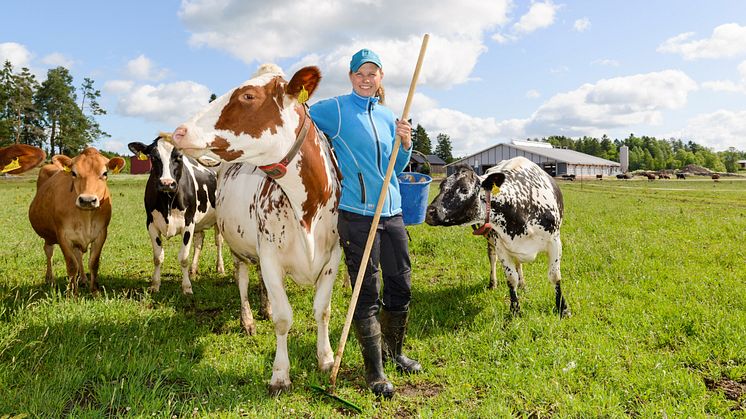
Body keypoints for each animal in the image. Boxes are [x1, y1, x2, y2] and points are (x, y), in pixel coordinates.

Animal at [28, 148, 125, 296]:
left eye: (105, 173)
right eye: (73, 173)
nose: (87, 200)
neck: (85, 217)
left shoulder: (101, 234)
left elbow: (93, 263)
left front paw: (94, 291)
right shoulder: (63, 235)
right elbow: (71, 265)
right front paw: (72, 293)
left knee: (78, 255)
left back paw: (83, 279)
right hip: (49, 236)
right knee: (49, 252)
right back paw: (49, 278)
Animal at [126, 136, 224, 294]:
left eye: (179, 156)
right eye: (154, 157)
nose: (167, 183)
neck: (168, 201)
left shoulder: (188, 223)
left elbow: (183, 258)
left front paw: (187, 287)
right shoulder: (151, 224)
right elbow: (158, 257)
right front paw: (155, 284)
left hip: (218, 220)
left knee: (218, 241)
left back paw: (220, 267)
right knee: (199, 241)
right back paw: (193, 270)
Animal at [169, 64, 340, 396]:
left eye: (248, 95)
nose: (179, 131)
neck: (306, 210)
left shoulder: (333, 258)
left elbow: (322, 310)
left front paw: (326, 359)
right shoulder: (271, 257)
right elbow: (284, 319)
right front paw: (280, 375)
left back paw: (264, 307)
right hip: (238, 247)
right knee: (243, 280)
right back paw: (249, 318)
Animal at [424, 158, 568, 318]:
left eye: (464, 189)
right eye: (441, 186)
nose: (429, 212)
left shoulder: (555, 241)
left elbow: (554, 276)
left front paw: (562, 308)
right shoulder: (501, 246)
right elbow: (511, 279)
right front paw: (515, 310)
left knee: (519, 264)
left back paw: (523, 284)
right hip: (491, 241)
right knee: (493, 258)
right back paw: (493, 283)